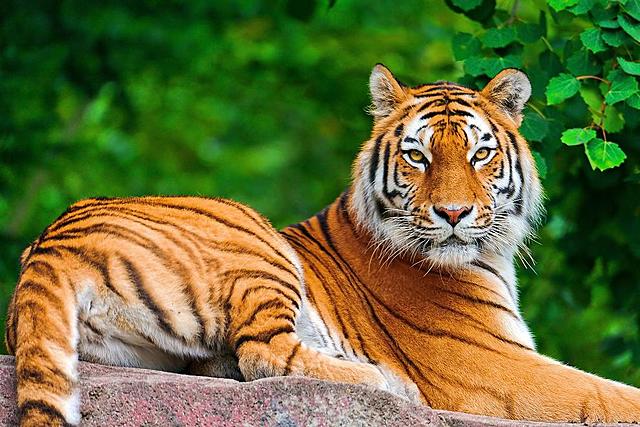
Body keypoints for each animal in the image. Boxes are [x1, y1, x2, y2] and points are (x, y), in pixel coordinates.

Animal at [6, 65, 640, 427]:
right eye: (418, 156)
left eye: (480, 153)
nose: (454, 214)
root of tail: (50, 243)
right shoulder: (489, 364)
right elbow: (609, 395)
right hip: (253, 239)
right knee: (263, 353)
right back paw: (386, 386)